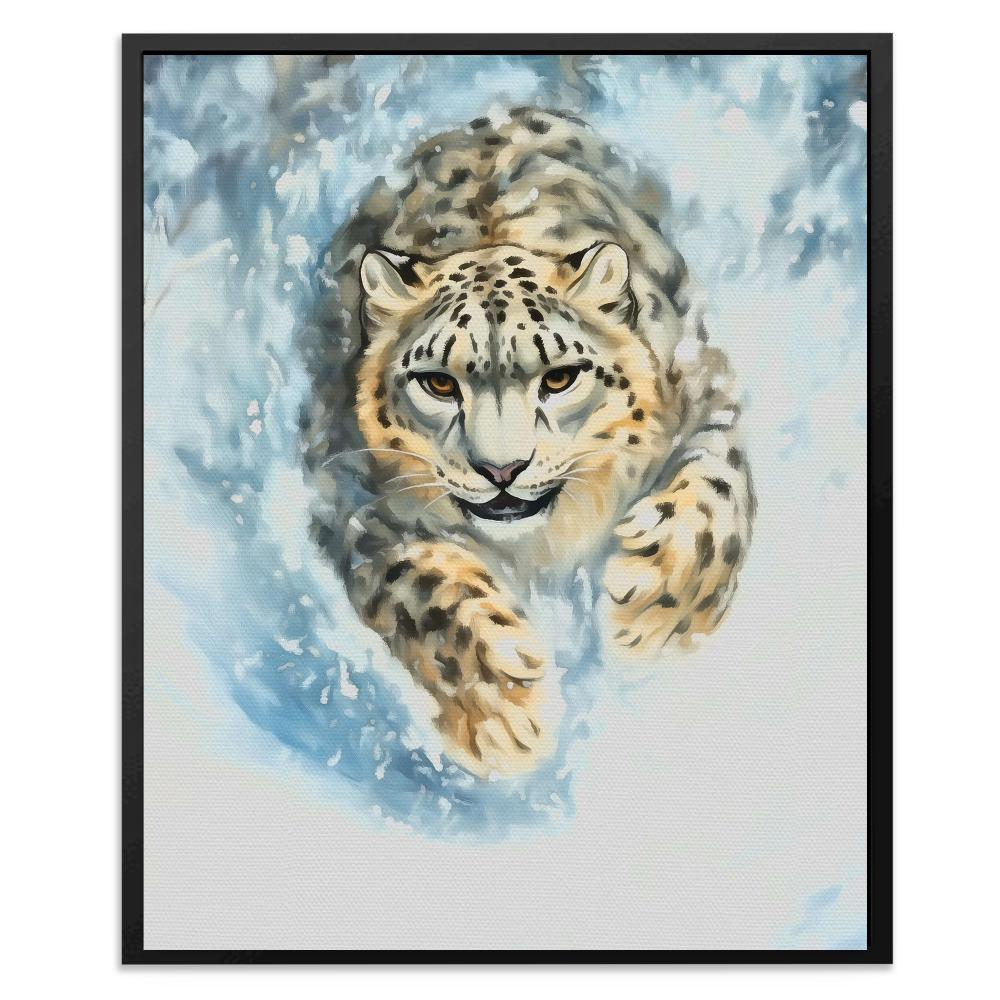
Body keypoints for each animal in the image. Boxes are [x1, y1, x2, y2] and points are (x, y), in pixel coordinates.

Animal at [301, 107, 755, 779]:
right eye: (438, 382)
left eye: (560, 377)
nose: (502, 469)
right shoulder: (348, 495)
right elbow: (422, 584)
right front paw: (503, 712)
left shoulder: (704, 385)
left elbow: (717, 492)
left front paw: (652, 617)